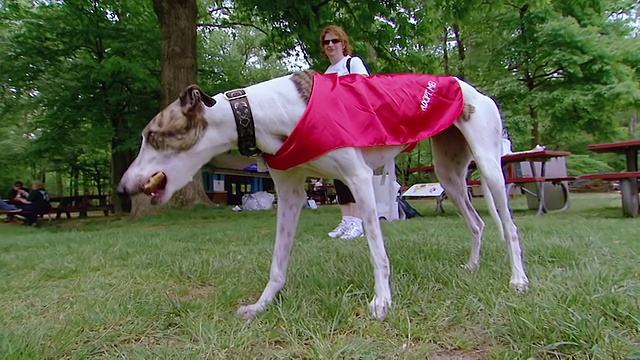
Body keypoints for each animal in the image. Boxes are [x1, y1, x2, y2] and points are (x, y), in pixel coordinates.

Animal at [119, 70, 528, 320]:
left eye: (152, 135)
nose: (123, 187)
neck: (260, 112)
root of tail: (473, 89)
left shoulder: (359, 179)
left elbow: (378, 253)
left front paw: (382, 301)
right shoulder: (288, 192)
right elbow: (278, 262)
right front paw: (261, 305)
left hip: (489, 167)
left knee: (510, 227)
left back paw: (518, 280)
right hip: (450, 173)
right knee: (476, 223)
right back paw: (473, 267)